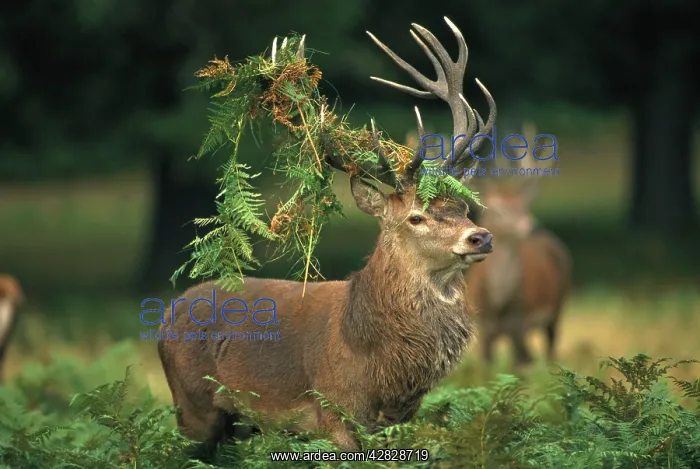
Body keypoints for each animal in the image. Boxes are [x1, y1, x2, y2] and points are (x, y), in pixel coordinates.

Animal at [158, 17, 497, 459]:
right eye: (416, 217)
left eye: (462, 208)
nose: (481, 237)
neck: (377, 362)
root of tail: (165, 315)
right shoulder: (334, 408)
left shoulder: (401, 419)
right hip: (192, 406)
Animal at [465, 123, 571, 367]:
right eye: (497, 210)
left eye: (523, 204)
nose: (530, 225)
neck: (499, 305)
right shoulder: (483, 328)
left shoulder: (520, 323)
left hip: (558, 305)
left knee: (550, 348)